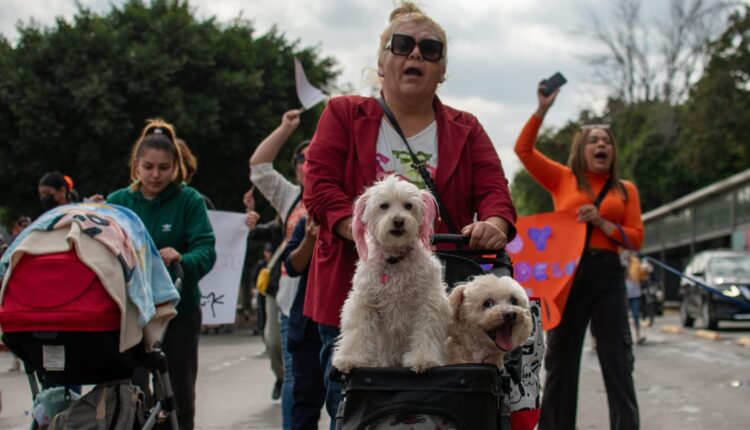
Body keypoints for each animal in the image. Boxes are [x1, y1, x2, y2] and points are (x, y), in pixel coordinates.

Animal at [334, 176, 452, 374]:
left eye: (408, 206)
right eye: (384, 206)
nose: (398, 221)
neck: (394, 260)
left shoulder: (428, 303)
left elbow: (426, 332)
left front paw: (423, 359)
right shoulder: (363, 302)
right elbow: (358, 331)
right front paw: (351, 359)